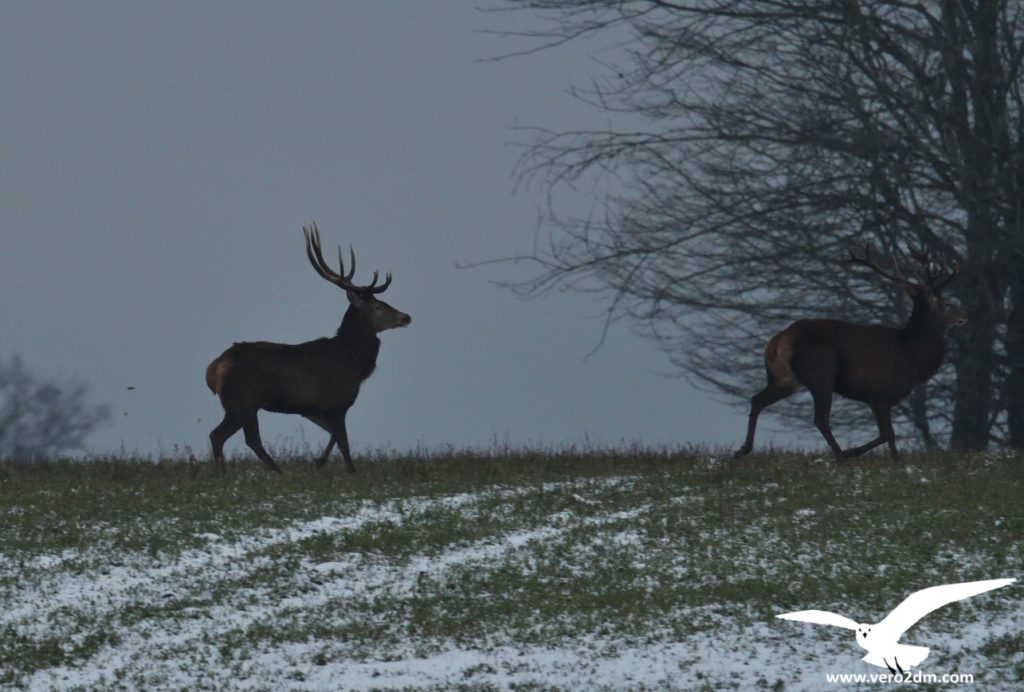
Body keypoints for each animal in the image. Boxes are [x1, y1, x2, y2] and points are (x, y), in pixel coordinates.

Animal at [203, 224, 411, 472]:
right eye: (378, 306)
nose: (406, 317)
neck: (352, 363)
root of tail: (213, 370)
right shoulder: (338, 403)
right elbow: (343, 443)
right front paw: (350, 471)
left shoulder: (312, 409)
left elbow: (333, 436)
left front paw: (319, 462)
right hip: (242, 401)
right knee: (228, 436)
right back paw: (252, 473)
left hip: (243, 405)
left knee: (238, 438)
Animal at [733, 243, 962, 458]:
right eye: (947, 303)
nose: (964, 316)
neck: (914, 356)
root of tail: (780, 340)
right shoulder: (881, 392)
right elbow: (888, 434)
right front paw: (864, 454)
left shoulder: (874, 398)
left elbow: (885, 434)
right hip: (820, 374)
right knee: (821, 419)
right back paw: (841, 456)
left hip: (785, 378)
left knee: (757, 399)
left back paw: (742, 449)